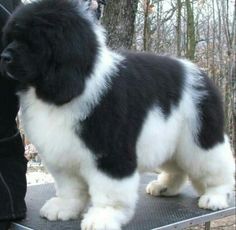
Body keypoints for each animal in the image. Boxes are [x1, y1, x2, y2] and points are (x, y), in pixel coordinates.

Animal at [0, 0, 235, 229]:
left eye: (33, 41)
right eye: (11, 38)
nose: (4, 56)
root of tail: (202, 74)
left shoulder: (110, 153)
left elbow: (110, 190)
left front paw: (103, 216)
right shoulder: (63, 153)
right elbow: (70, 186)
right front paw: (64, 207)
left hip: (198, 139)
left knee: (217, 167)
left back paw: (214, 196)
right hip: (168, 141)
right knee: (177, 168)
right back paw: (165, 186)